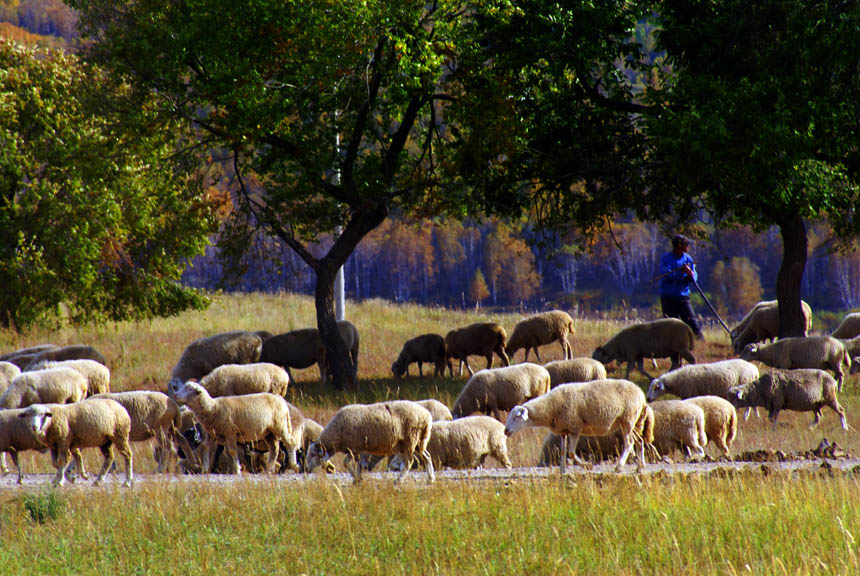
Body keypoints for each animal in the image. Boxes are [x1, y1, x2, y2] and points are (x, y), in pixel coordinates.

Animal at [304, 400, 436, 486]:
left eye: (313, 454)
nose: (306, 469)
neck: (337, 433)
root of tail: (427, 415)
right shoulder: (358, 448)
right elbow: (357, 464)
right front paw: (357, 479)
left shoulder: (354, 447)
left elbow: (347, 462)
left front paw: (356, 478)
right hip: (419, 442)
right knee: (427, 456)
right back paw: (431, 479)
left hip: (410, 440)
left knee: (409, 461)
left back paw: (399, 480)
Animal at [504, 376, 652, 474]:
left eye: (516, 417)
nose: (505, 431)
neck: (550, 407)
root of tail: (641, 394)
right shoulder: (563, 431)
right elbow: (563, 451)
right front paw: (562, 471)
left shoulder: (575, 428)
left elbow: (570, 452)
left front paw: (587, 465)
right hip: (631, 422)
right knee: (639, 441)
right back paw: (640, 467)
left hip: (627, 419)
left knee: (629, 442)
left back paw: (619, 467)